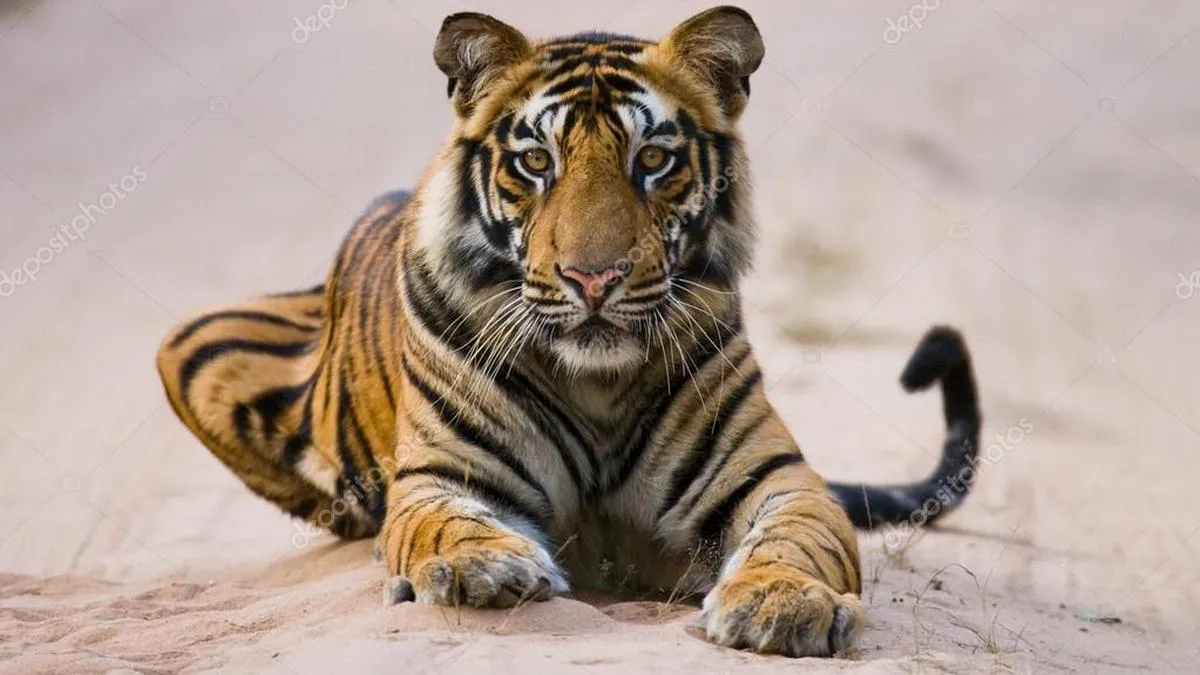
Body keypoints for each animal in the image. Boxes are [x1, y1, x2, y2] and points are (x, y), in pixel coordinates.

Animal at [155, 6, 982, 657]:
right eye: (534, 161)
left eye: (654, 159)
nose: (594, 279)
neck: (597, 382)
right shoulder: (443, 475)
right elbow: (442, 524)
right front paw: (482, 569)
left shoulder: (774, 476)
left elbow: (798, 534)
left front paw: (782, 604)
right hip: (190, 342)